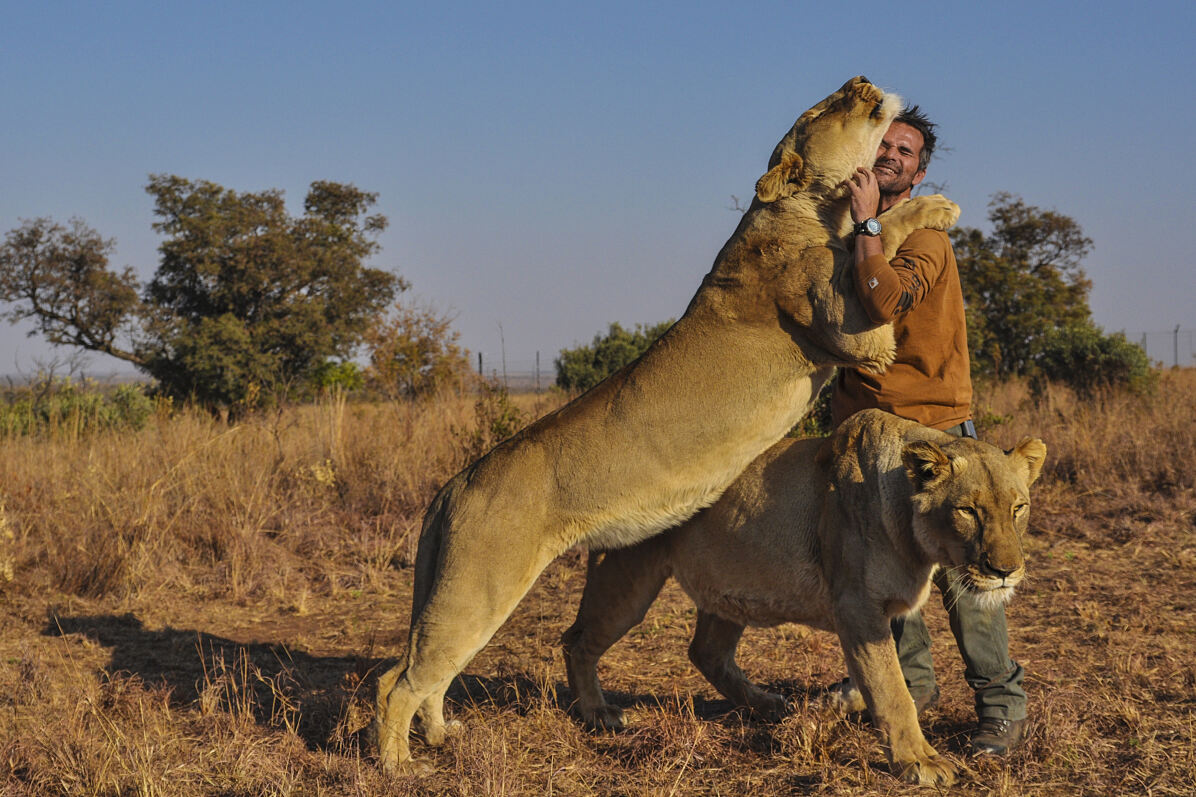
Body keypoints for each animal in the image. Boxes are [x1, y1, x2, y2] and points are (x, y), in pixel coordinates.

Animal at [373, 77, 962, 770]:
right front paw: (936, 205)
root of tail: (454, 484)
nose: (862, 80)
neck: (806, 212)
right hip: (482, 586)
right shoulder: (853, 330)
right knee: (402, 678)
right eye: (825, 109)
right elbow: (884, 229)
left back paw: (466, 732)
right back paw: (398, 763)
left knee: (448, 668)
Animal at [561, 409, 1046, 786]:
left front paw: (834, 703)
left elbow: (885, 682)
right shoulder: (856, 608)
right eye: (967, 511)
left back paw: (769, 705)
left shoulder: (879, 612)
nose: (1005, 572)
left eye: (1018, 508)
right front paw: (919, 762)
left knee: (705, 652)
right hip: (627, 582)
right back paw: (598, 714)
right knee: (576, 640)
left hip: (727, 587)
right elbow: (892, 689)